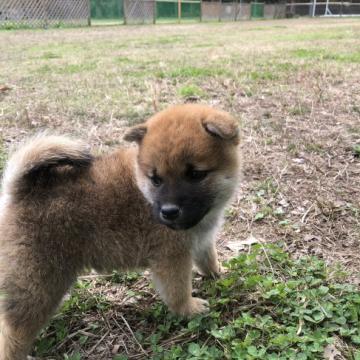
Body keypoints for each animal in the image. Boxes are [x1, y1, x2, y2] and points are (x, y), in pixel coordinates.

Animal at [0, 103, 239, 358]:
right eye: (156, 179)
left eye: (195, 174)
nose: (168, 212)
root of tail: (19, 193)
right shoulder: (172, 258)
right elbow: (178, 291)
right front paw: (189, 309)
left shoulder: (203, 239)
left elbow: (208, 259)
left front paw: (218, 273)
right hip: (38, 285)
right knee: (13, 331)